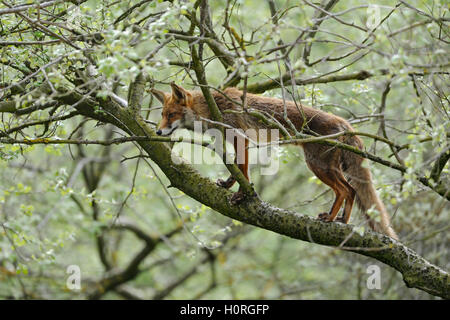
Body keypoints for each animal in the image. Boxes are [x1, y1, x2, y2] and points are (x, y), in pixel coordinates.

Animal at [151, 83, 398, 240]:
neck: (213, 107)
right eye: (162, 115)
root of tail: (344, 123)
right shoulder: (238, 142)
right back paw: (341, 221)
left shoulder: (241, 138)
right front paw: (230, 185)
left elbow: (243, 171)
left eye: (171, 115)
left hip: (317, 166)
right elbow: (237, 169)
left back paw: (330, 219)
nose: (158, 132)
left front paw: (242, 195)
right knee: (351, 191)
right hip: (328, 168)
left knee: (346, 190)